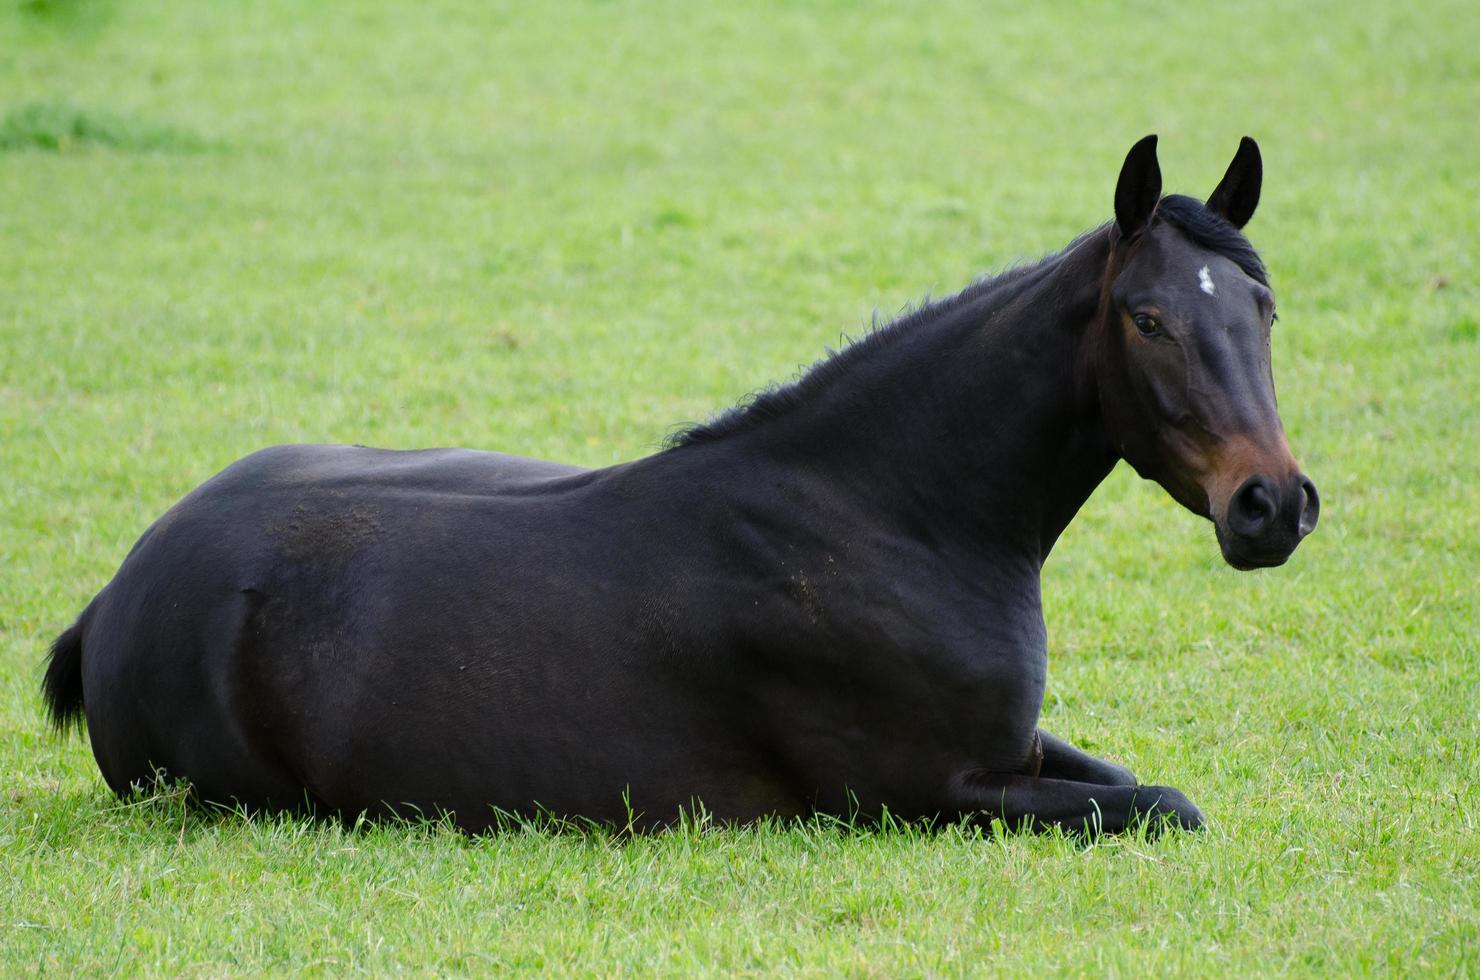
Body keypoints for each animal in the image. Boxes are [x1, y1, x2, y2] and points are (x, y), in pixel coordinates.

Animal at [43, 134, 1320, 834]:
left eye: (1260, 305)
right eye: (1146, 317)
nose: (1273, 507)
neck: (887, 519)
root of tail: (118, 592)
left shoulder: (1013, 751)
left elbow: (1141, 782)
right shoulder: (929, 792)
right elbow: (1159, 805)